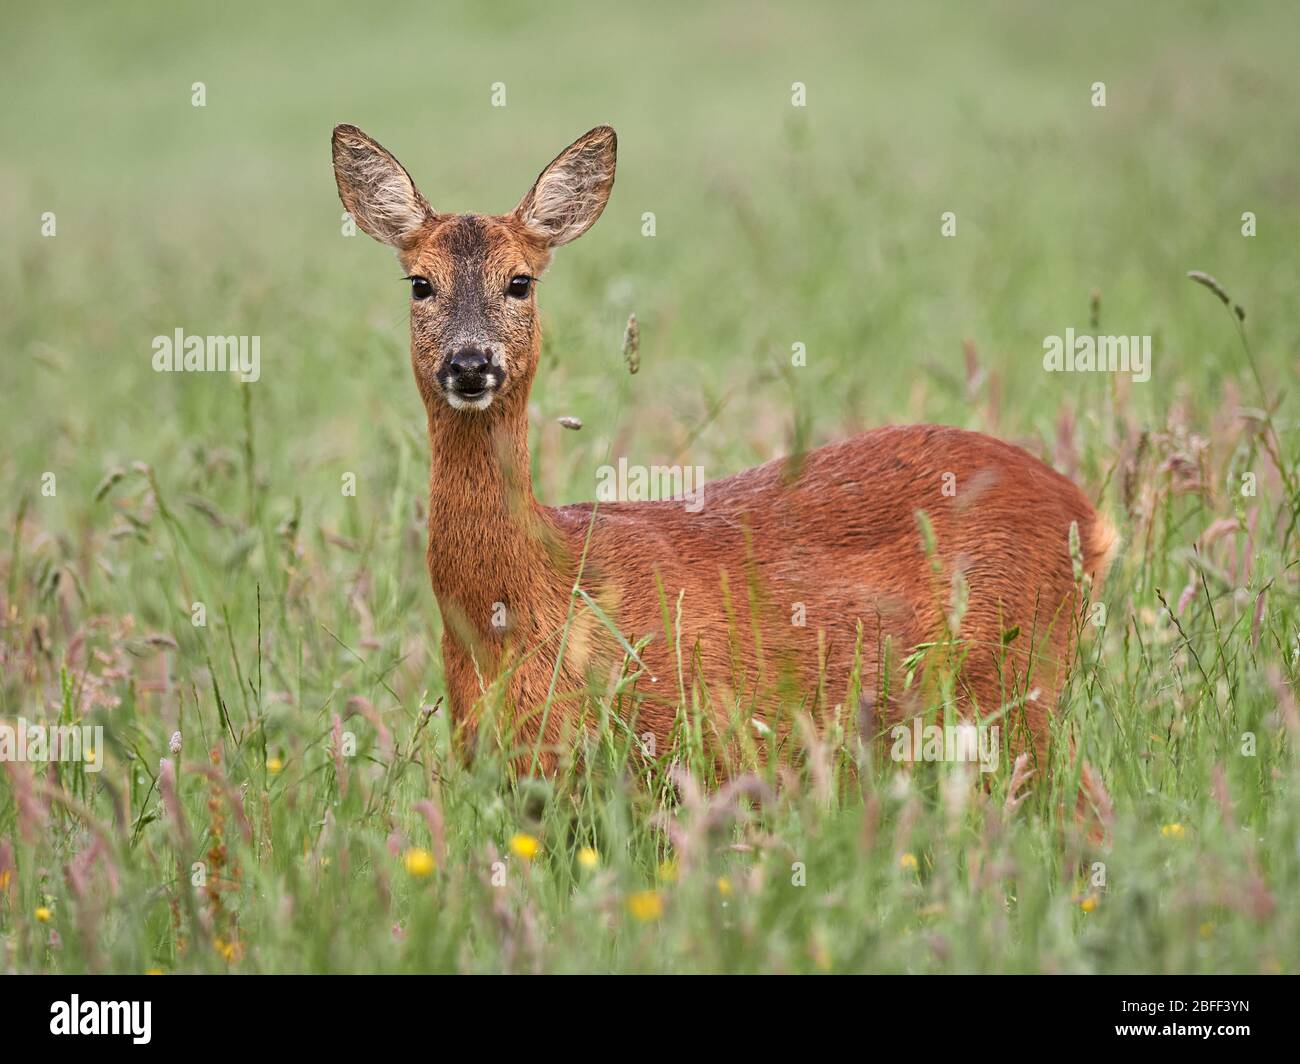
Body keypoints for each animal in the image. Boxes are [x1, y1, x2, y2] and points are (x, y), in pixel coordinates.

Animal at [332, 123, 1119, 786]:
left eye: (520, 281)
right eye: (421, 283)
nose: (470, 363)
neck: (528, 607)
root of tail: (1088, 513)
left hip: (1014, 680)